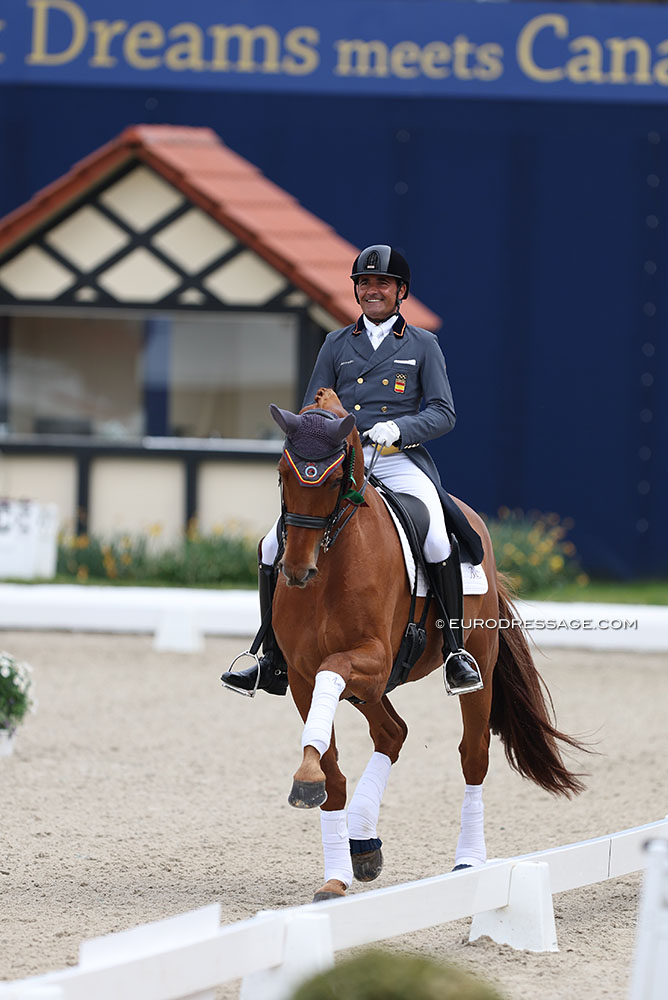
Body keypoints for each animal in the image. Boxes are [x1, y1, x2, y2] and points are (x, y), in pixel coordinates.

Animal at [268, 388, 580, 900]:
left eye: (333, 480)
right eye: (282, 473)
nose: (296, 571)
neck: (332, 566)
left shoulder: (370, 660)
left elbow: (333, 677)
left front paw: (307, 778)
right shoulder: (300, 674)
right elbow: (331, 769)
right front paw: (334, 875)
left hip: (475, 666)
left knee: (473, 755)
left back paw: (469, 860)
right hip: (372, 690)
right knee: (392, 733)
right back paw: (363, 845)